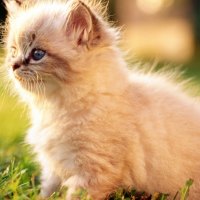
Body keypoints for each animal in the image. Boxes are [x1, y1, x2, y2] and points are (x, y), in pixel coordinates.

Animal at [3, 0, 200, 199]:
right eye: (13, 51)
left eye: (37, 54)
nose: (13, 65)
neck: (56, 109)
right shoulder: (53, 170)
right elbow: (46, 193)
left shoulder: (94, 172)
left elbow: (74, 195)